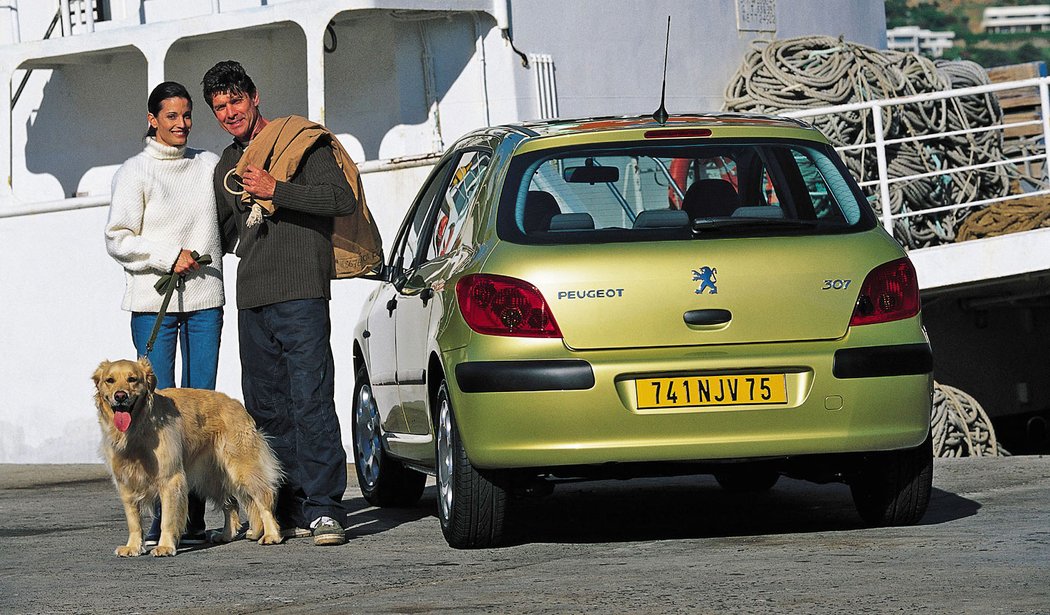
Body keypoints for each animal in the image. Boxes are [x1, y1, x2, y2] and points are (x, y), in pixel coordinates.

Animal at [93, 354, 281, 554]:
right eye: (110, 380)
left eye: (132, 379)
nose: (120, 396)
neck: (139, 427)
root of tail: (237, 404)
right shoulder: (125, 481)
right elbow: (133, 520)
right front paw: (133, 546)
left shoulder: (170, 478)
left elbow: (167, 519)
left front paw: (165, 546)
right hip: (210, 476)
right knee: (231, 503)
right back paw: (226, 535)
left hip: (242, 468)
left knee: (264, 499)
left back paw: (272, 535)